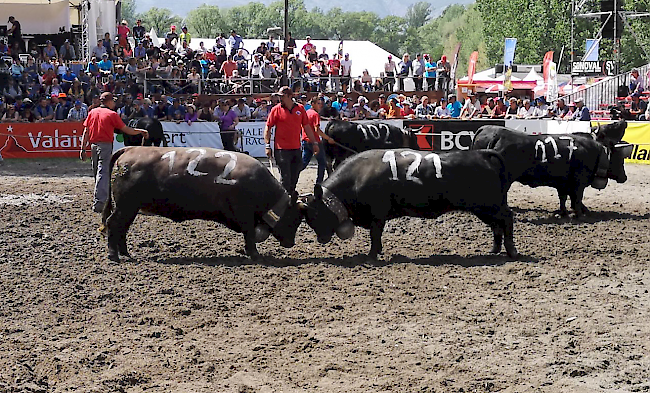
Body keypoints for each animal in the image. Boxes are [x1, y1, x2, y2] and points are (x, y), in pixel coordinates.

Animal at [298, 149, 516, 258]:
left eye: (315, 213)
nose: (321, 239)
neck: (356, 178)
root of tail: (480, 154)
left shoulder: (377, 216)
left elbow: (375, 235)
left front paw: (372, 255)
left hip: (489, 205)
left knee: (506, 218)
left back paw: (511, 251)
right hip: (485, 209)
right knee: (496, 226)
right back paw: (494, 250)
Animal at [468, 120, 632, 217]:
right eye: (619, 158)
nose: (624, 177)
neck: (593, 148)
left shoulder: (563, 182)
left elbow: (564, 198)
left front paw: (564, 212)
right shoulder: (578, 181)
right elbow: (577, 198)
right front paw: (579, 213)